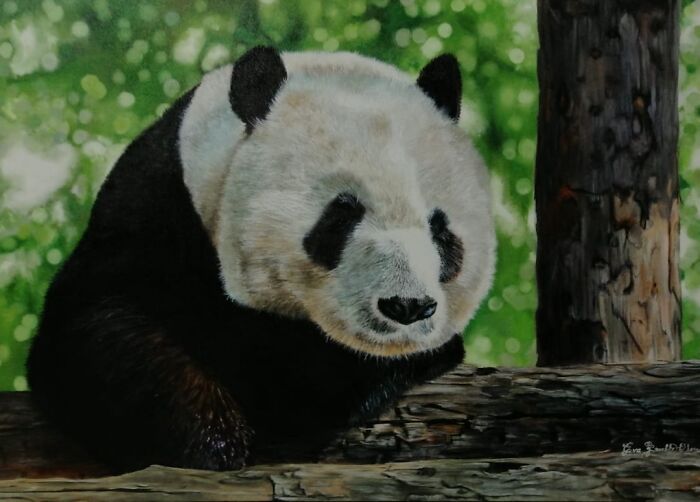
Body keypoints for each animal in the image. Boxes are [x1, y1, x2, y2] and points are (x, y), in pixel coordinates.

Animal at [27, 47, 495, 471]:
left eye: (440, 230)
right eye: (341, 214)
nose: (406, 306)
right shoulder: (151, 211)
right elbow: (98, 327)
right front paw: (214, 439)